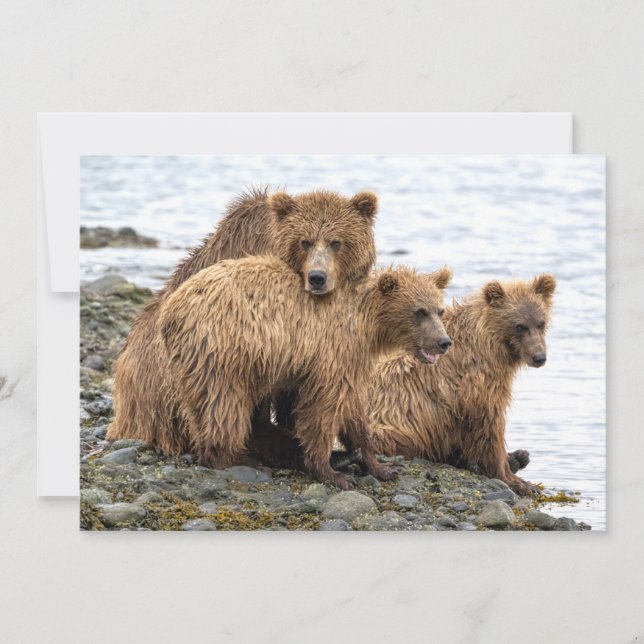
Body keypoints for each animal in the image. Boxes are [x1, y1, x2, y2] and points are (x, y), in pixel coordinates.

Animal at [158, 260, 453, 488]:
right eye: (419, 311)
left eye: (440, 310)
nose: (444, 342)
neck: (367, 325)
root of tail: (170, 310)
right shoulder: (332, 351)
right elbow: (323, 408)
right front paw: (332, 473)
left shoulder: (353, 361)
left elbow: (355, 410)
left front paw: (381, 466)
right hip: (222, 351)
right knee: (224, 405)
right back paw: (241, 459)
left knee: (202, 407)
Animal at [367, 274, 556, 495]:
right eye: (520, 326)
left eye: (541, 323)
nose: (539, 357)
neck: (490, 345)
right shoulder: (476, 384)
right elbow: (488, 426)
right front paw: (518, 481)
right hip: (390, 426)